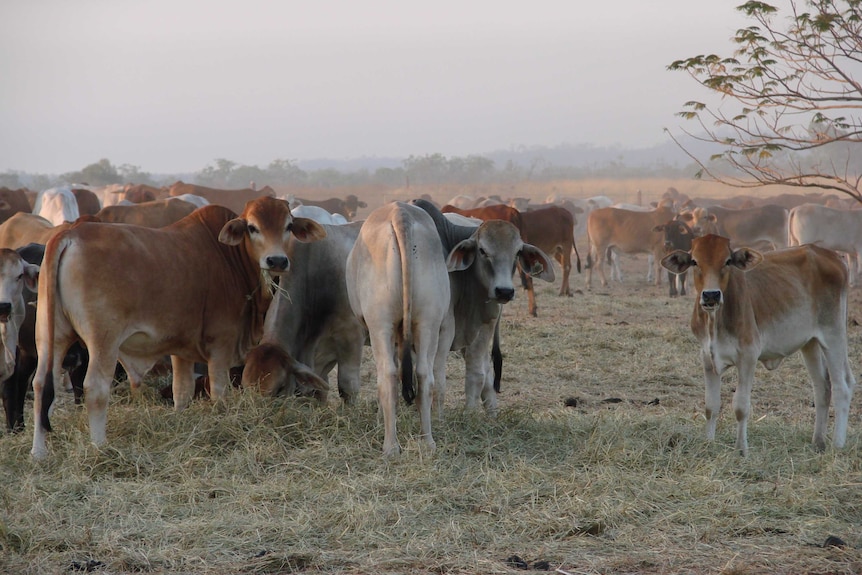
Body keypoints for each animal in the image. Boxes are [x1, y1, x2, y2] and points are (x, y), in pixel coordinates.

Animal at [27, 197, 330, 460]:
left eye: (288, 226)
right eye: (253, 227)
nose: (277, 261)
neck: (229, 256)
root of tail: (69, 235)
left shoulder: (181, 350)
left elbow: (181, 392)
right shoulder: (221, 346)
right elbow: (219, 393)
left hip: (51, 336)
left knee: (42, 384)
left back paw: (39, 453)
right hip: (104, 342)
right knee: (95, 388)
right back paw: (100, 447)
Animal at [346, 204, 452, 460]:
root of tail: (399, 212)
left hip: (380, 324)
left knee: (387, 375)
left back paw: (390, 445)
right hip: (428, 322)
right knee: (425, 375)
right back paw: (428, 441)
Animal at [416, 200, 556, 420]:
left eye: (517, 252)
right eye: (482, 250)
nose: (504, 291)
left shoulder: (483, 327)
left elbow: (476, 375)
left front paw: (470, 416)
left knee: (487, 375)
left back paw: (492, 416)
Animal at [660, 233, 856, 454]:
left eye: (727, 261)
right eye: (694, 261)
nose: (711, 295)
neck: (715, 321)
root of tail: (832, 255)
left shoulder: (748, 356)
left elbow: (741, 406)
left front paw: (741, 450)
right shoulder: (707, 357)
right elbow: (711, 405)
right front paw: (708, 443)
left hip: (834, 334)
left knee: (842, 386)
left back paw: (837, 445)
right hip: (811, 343)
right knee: (822, 387)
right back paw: (818, 442)